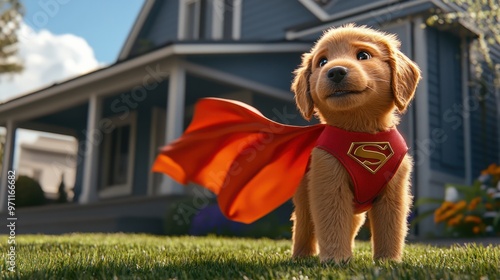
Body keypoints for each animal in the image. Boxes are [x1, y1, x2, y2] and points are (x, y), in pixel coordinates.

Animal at [292, 23, 420, 262]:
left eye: (363, 55)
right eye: (322, 61)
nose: (335, 71)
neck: (360, 132)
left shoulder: (394, 190)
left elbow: (391, 228)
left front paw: (388, 260)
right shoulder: (328, 182)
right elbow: (332, 224)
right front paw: (335, 259)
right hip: (305, 198)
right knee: (304, 225)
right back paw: (302, 256)